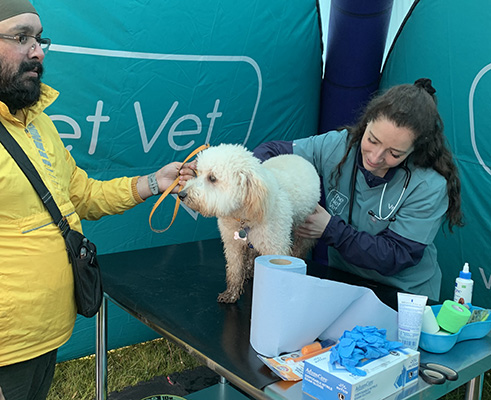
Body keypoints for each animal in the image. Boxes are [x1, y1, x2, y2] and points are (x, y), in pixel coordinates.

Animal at [179, 142, 320, 302]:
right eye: (198, 172)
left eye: (212, 178)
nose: (181, 194)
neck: (243, 215)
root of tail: (297, 156)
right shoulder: (232, 244)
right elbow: (234, 269)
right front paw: (231, 294)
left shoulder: (276, 247)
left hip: (305, 227)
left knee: (301, 247)